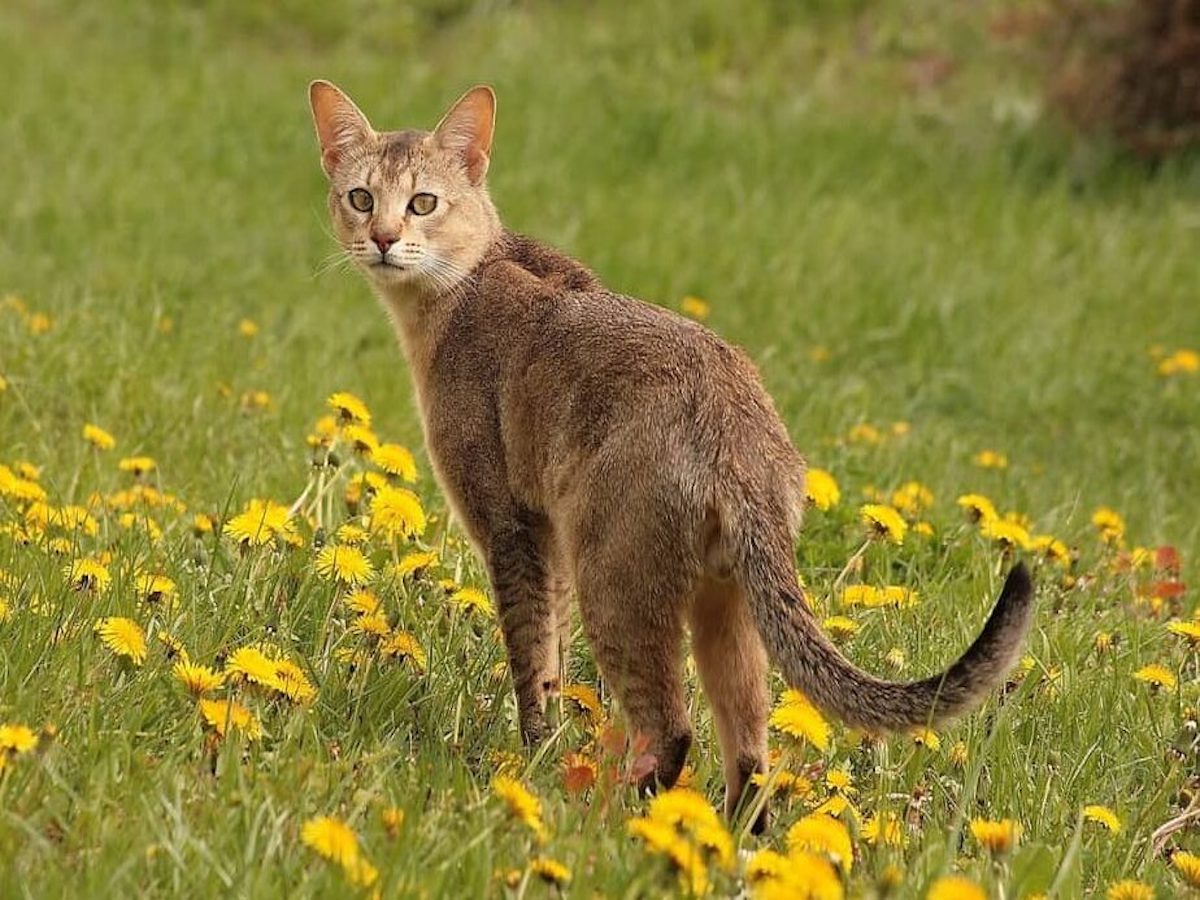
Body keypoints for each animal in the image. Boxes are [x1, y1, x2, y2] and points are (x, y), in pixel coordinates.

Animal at [307, 82, 1032, 830]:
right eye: (361, 197)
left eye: (423, 203)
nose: (382, 238)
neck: (465, 287)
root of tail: (737, 425)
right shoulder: (549, 538)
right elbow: (552, 652)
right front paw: (550, 746)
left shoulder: (511, 525)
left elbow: (531, 654)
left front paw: (533, 757)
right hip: (724, 603)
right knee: (750, 748)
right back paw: (721, 834)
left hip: (614, 576)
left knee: (672, 726)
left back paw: (614, 818)